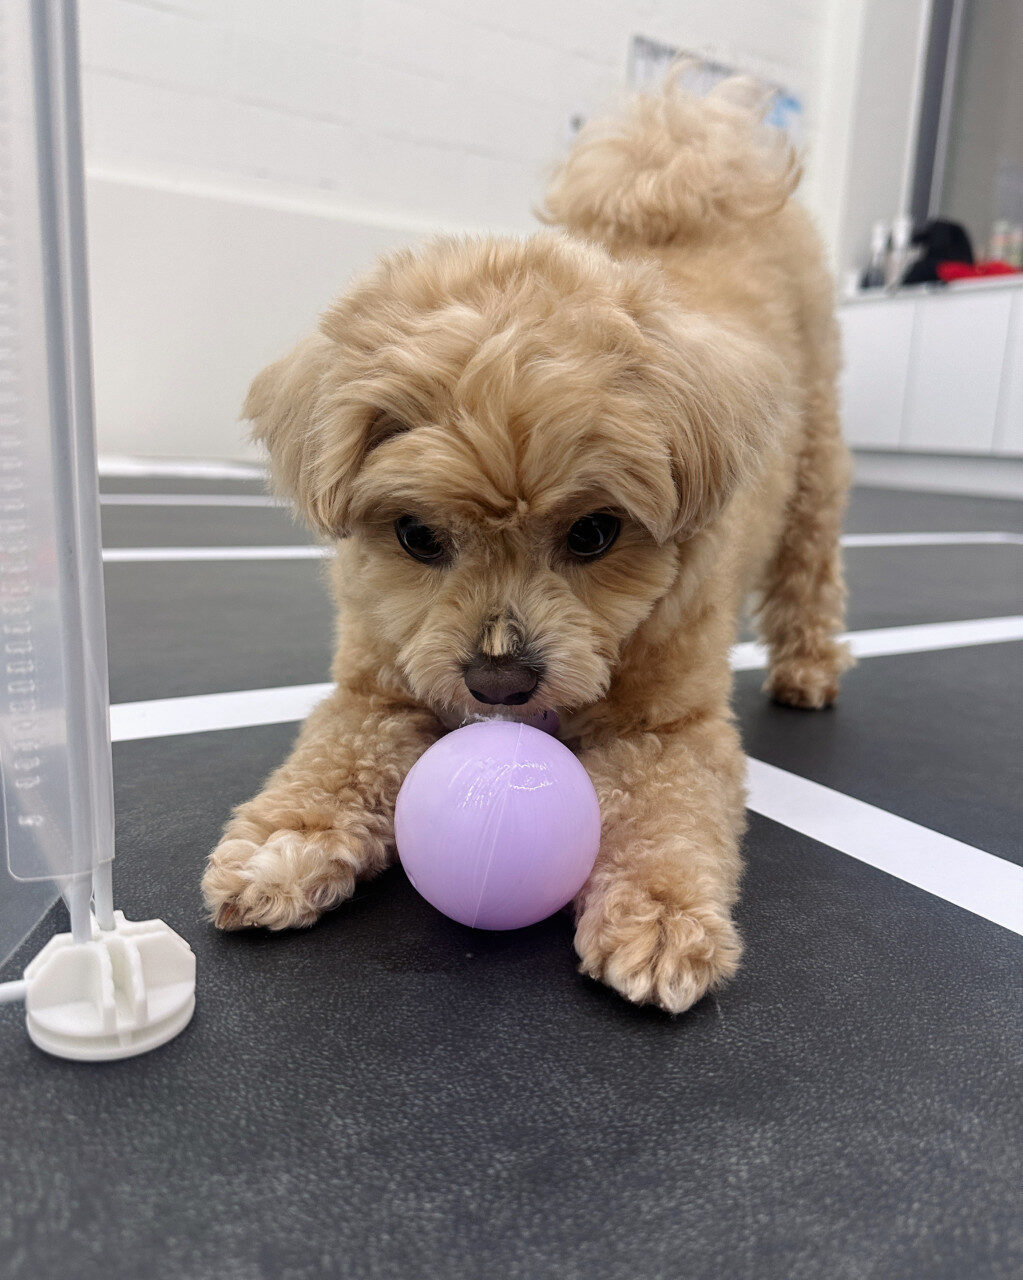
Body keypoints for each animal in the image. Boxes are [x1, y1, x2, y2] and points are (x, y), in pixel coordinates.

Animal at [201, 72, 851, 1014]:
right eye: (416, 535)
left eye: (594, 533)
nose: (497, 681)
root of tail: (684, 147)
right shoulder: (377, 690)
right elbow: (333, 761)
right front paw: (285, 844)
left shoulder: (670, 728)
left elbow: (660, 813)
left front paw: (658, 915)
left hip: (815, 461)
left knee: (810, 565)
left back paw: (808, 667)